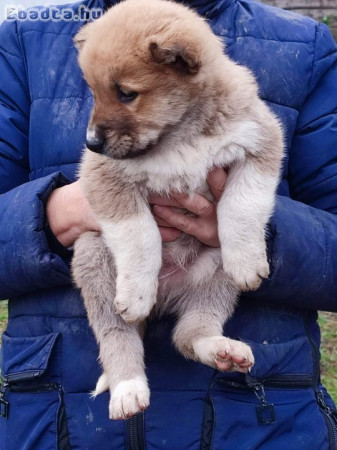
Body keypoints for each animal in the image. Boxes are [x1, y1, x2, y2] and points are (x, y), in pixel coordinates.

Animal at [72, 0, 282, 420]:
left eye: (126, 93)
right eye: (94, 92)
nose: (91, 145)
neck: (180, 134)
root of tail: (166, 297)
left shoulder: (261, 142)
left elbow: (242, 204)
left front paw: (247, 261)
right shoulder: (105, 179)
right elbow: (140, 236)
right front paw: (138, 292)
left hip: (214, 276)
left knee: (188, 334)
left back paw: (222, 350)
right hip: (93, 257)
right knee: (118, 336)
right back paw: (127, 388)